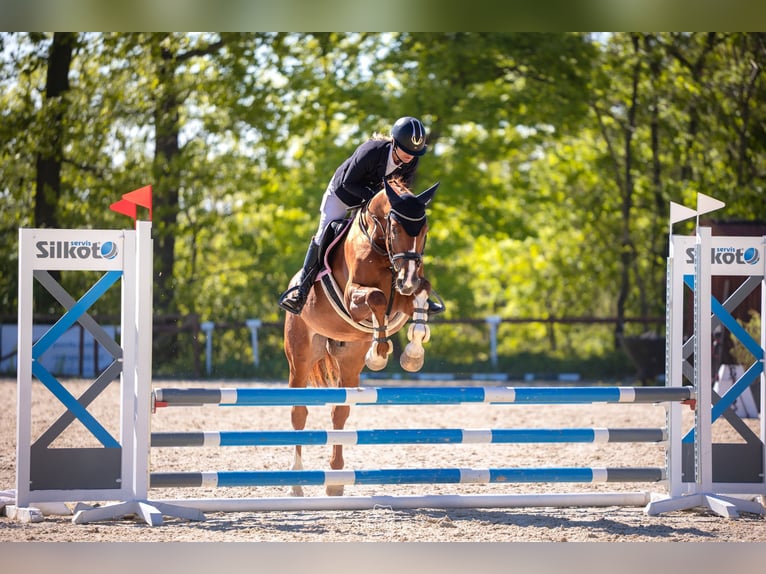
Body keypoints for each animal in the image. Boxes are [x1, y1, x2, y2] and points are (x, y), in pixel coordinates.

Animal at [283, 177, 439, 496]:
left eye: (425, 230)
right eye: (396, 228)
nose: (406, 279)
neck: (381, 247)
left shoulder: (403, 297)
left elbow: (421, 294)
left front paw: (412, 355)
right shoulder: (353, 297)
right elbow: (377, 298)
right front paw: (379, 354)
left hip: (348, 361)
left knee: (339, 412)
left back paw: (335, 481)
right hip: (300, 357)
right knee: (298, 413)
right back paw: (296, 485)